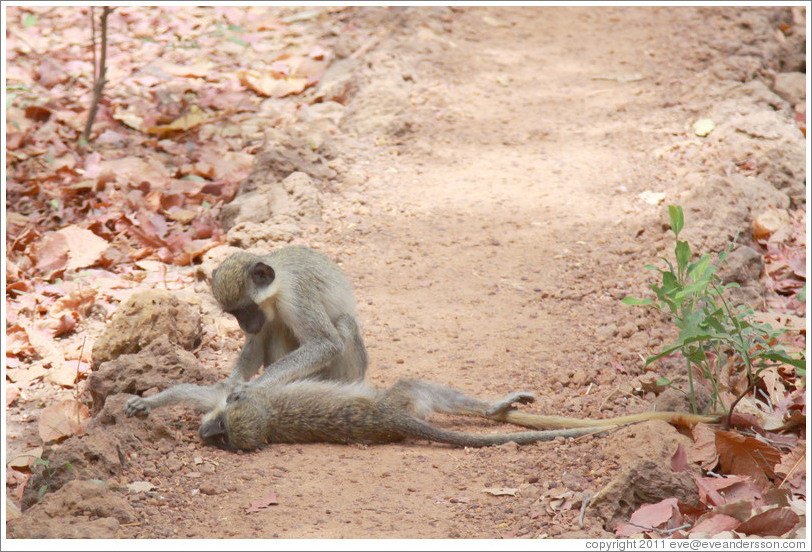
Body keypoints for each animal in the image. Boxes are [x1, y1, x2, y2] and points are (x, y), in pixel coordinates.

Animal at [125, 247, 366, 418]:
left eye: (246, 309)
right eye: (233, 313)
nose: (245, 326)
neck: (277, 289)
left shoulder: (296, 295)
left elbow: (326, 343)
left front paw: (251, 387)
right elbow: (255, 346)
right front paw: (230, 383)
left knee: (345, 323)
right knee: (275, 329)